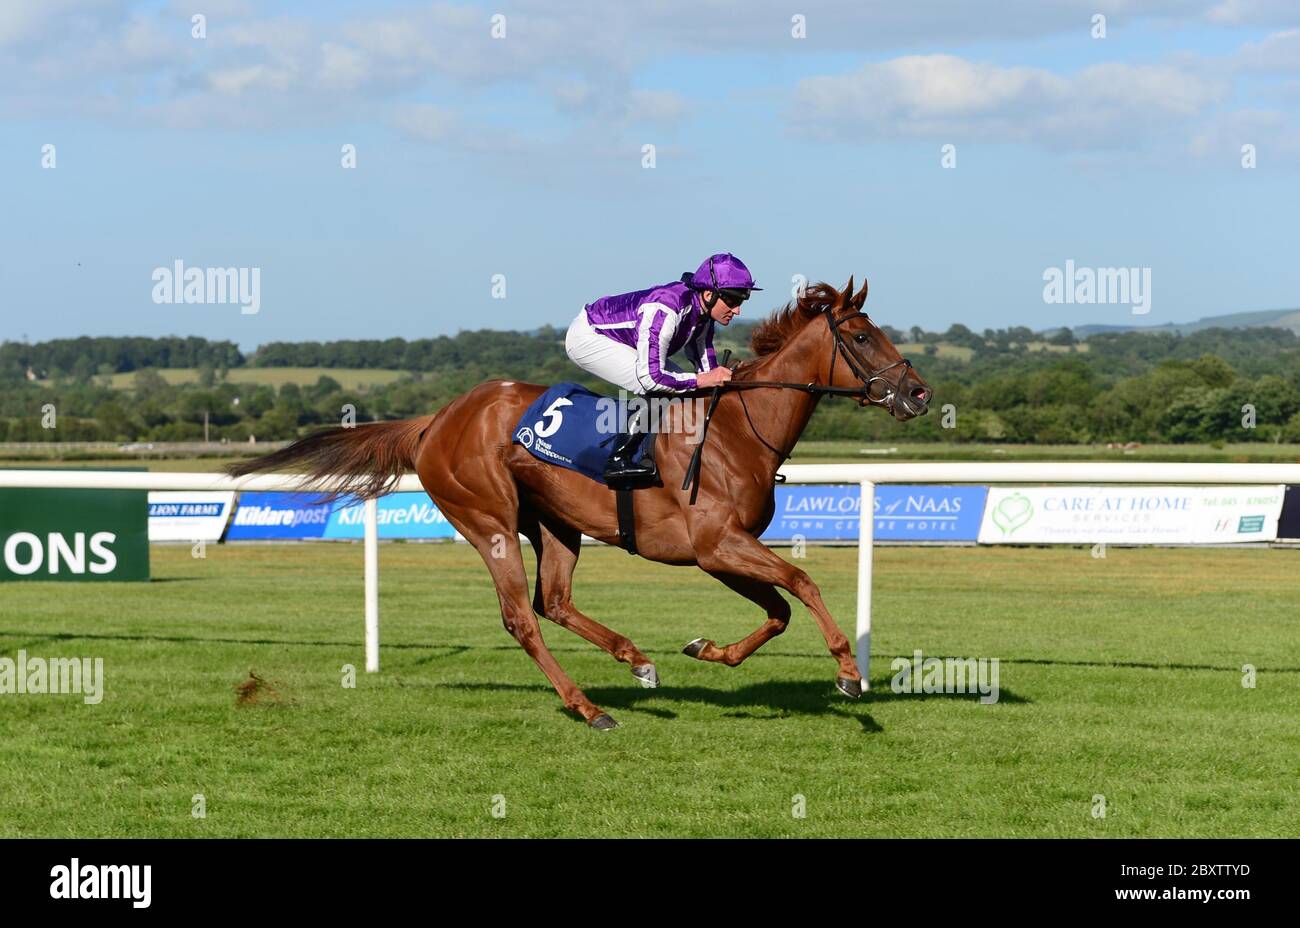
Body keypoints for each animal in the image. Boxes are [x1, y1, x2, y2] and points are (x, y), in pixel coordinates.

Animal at [228, 278, 930, 727]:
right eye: (861, 337)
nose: (920, 394)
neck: (735, 429)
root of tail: (436, 420)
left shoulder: (721, 552)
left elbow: (779, 610)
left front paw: (706, 650)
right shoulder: (716, 545)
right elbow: (803, 583)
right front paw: (848, 671)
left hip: (555, 524)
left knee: (556, 601)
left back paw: (637, 662)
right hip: (489, 521)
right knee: (522, 617)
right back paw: (588, 708)